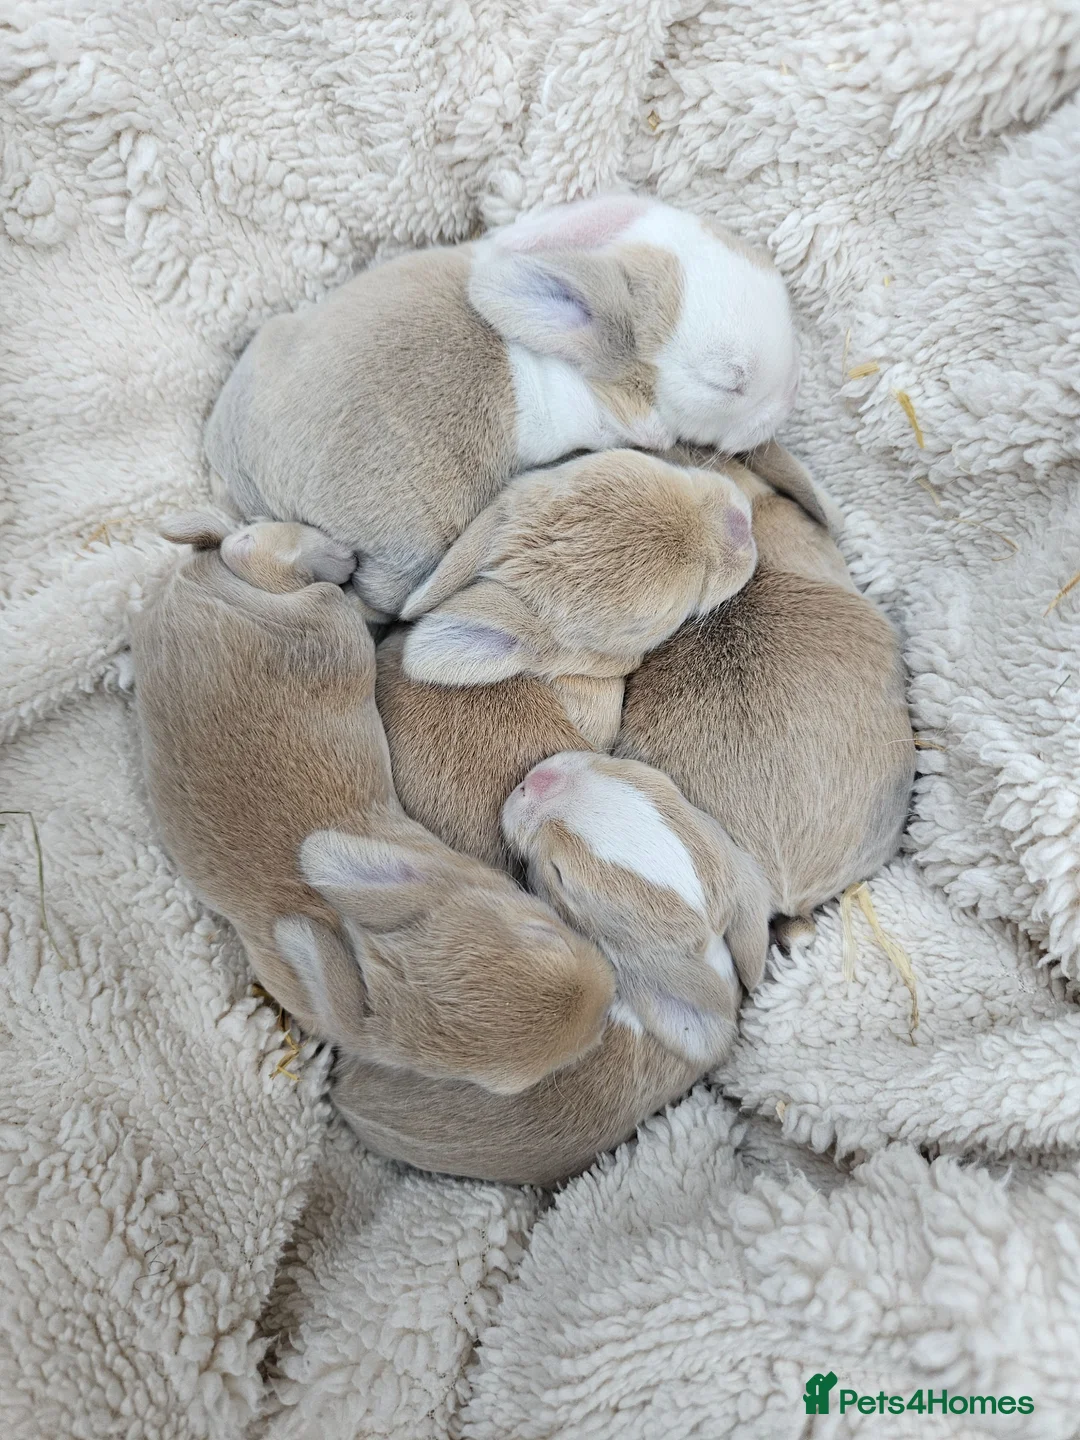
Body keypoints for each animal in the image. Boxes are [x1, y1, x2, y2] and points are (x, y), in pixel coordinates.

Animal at [129, 515, 615, 1097]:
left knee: (237, 547)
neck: (360, 938)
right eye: (541, 929)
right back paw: (335, 559)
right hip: (327, 633)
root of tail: (190, 590)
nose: (607, 1004)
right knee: (253, 557)